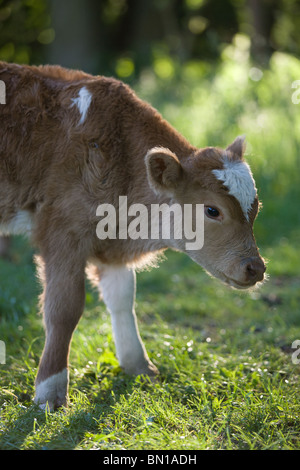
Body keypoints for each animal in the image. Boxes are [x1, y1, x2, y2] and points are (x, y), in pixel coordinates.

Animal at [0, 61, 264, 408]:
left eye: (256, 207)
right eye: (212, 210)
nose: (256, 268)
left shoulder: (112, 244)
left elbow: (122, 298)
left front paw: (139, 366)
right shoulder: (63, 230)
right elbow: (64, 308)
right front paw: (51, 391)